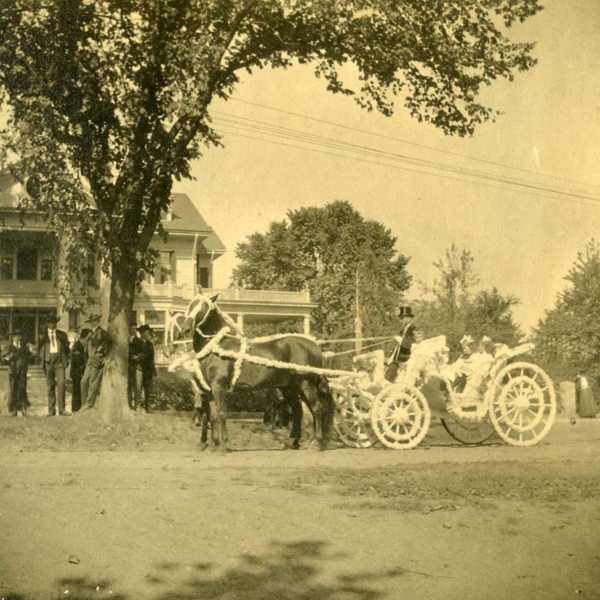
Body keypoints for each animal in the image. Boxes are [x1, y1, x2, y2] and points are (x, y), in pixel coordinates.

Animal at [171, 292, 336, 452]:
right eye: (191, 305)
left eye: (205, 307)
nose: (185, 329)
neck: (217, 347)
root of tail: (314, 345)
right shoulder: (209, 390)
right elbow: (212, 416)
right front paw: (214, 444)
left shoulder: (219, 387)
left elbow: (222, 413)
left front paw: (224, 445)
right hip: (289, 387)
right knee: (298, 411)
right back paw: (293, 442)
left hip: (305, 384)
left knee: (316, 408)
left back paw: (316, 443)